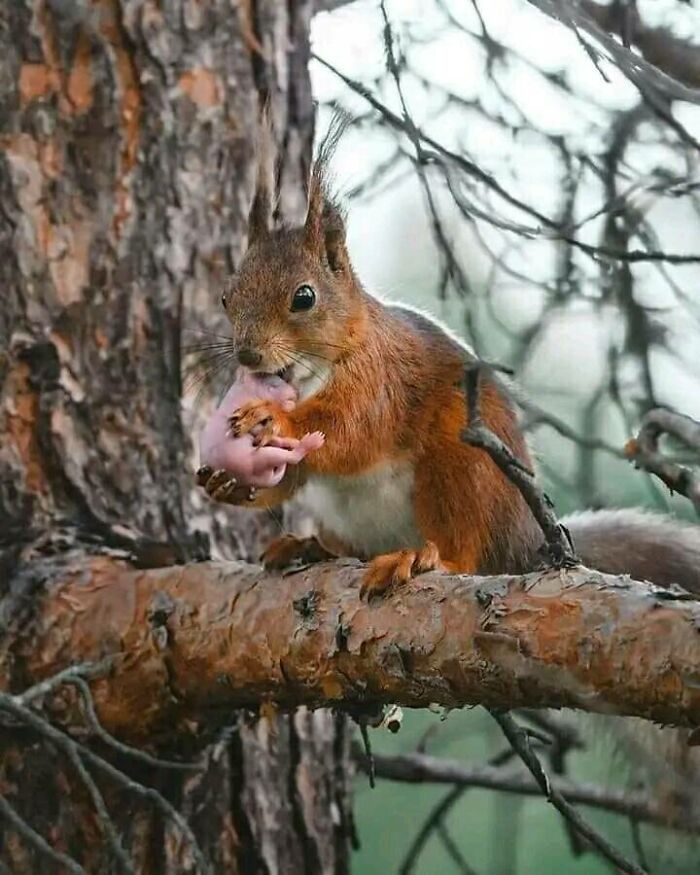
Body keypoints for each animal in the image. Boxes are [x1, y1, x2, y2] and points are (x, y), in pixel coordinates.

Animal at [198, 113, 700, 600]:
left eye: (304, 297)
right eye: (226, 296)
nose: (247, 355)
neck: (310, 376)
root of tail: (527, 544)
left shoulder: (380, 380)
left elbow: (350, 430)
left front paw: (274, 418)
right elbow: (295, 474)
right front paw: (230, 484)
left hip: (462, 467)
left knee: (465, 555)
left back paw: (418, 557)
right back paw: (307, 547)